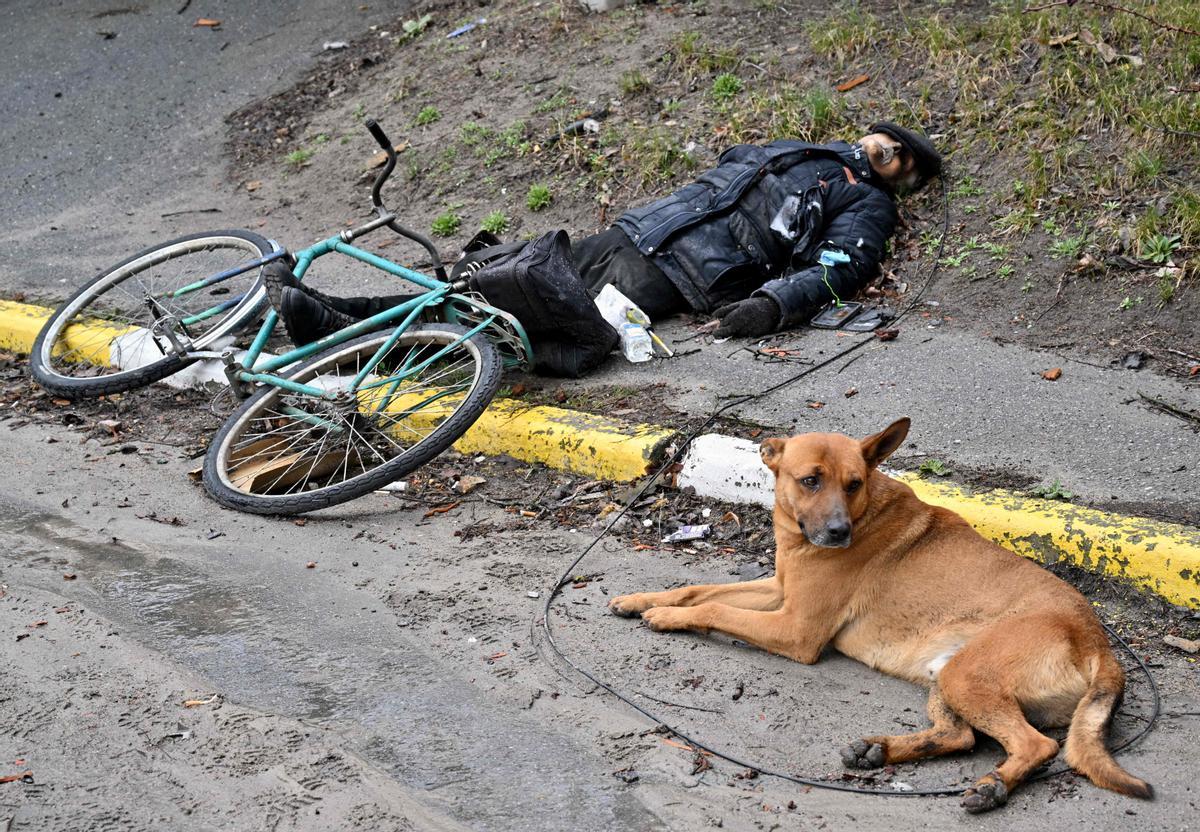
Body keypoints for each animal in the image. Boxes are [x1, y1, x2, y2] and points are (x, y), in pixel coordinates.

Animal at [609, 417, 1152, 806]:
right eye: (810, 480)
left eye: (853, 483)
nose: (837, 533)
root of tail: (1098, 643)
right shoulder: (779, 592)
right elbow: (698, 588)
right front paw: (641, 600)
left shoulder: (795, 628)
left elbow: (717, 609)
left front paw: (667, 618)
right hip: (948, 675)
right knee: (959, 736)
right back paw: (881, 750)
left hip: (967, 674)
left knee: (1036, 745)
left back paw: (991, 786)